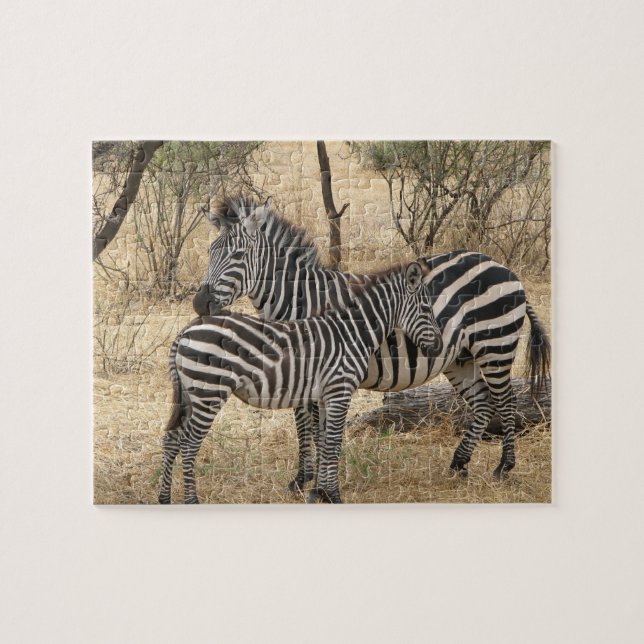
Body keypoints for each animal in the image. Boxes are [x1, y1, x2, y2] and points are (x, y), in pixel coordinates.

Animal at [159, 262, 443, 504]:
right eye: (426, 309)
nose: (439, 346)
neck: (351, 334)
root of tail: (185, 331)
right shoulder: (340, 391)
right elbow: (333, 443)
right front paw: (334, 496)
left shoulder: (326, 395)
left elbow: (325, 441)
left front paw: (321, 493)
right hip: (208, 391)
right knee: (188, 443)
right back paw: (191, 501)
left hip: (190, 393)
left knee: (172, 438)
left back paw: (164, 498)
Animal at [192, 196, 551, 487]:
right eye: (209, 252)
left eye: (238, 255)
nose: (200, 304)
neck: (302, 298)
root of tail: (502, 267)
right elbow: (304, 425)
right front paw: (304, 479)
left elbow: (313, 426)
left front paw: (316, 480)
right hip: (461, 358)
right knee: (482, 404)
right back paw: (459, 465)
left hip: (495, 346)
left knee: (505, 402)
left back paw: (503, 468)